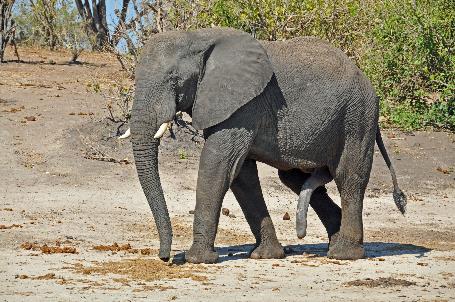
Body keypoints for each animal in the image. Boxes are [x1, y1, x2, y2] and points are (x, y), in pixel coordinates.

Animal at [130, 27, 408, 264]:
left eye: (174, 79)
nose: (165, 257)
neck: (197, 36)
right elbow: (241, 175)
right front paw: (266, 255)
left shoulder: (243, 105)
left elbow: (218, 164)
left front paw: (197, 259)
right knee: (296, 179)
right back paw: (336, 240)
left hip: (357, 117)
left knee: (349, 177)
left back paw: (343, 253)